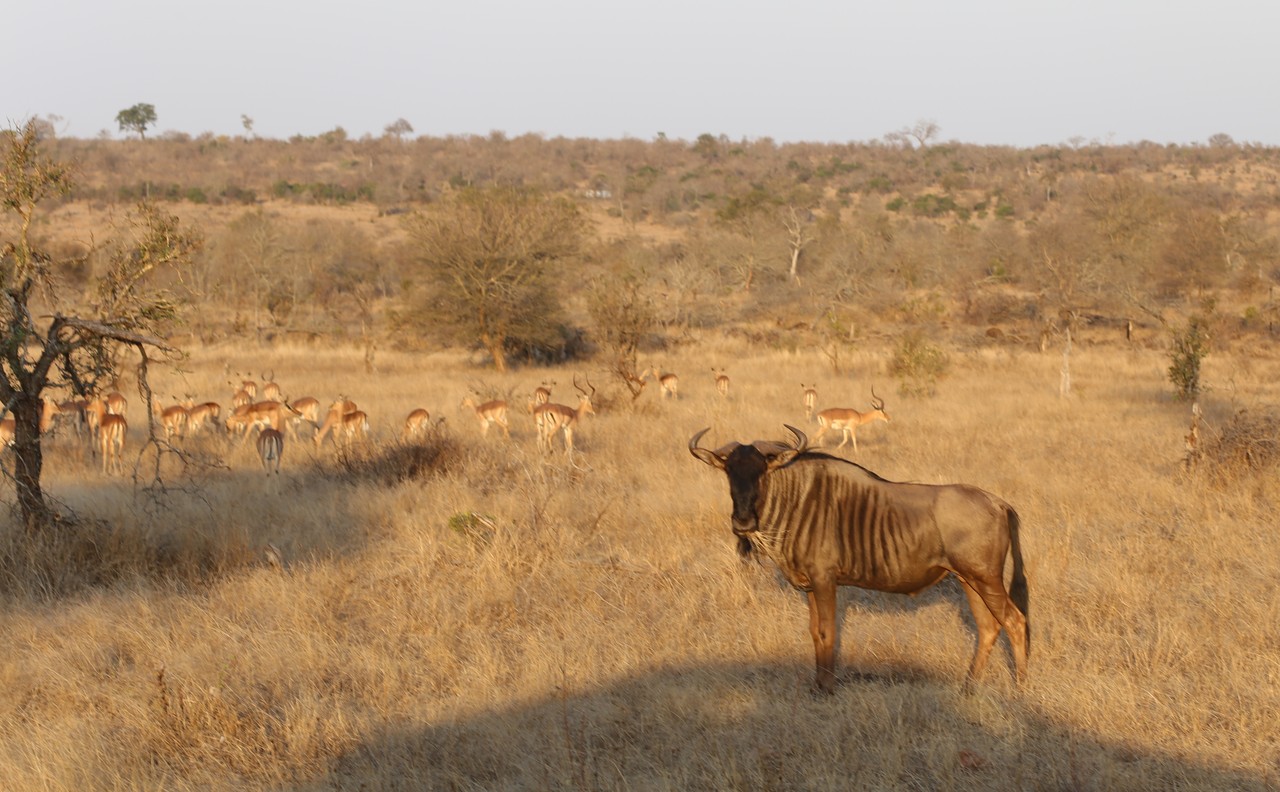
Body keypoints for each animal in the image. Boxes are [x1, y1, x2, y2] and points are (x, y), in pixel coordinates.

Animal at [690, 425, 1029, 693]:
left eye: (761, 471)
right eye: (729, 472)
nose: (743, 523)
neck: (797, 500)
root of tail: (999, 503)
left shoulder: (825, 580)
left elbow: (828, 632)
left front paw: (827, 689)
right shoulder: (811, 586)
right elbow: (815, 632)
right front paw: (817, 686)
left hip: (986, 580)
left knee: (1015, 621)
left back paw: (1020, 688)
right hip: (970, 580)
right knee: (989, 627)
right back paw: (968, 687)